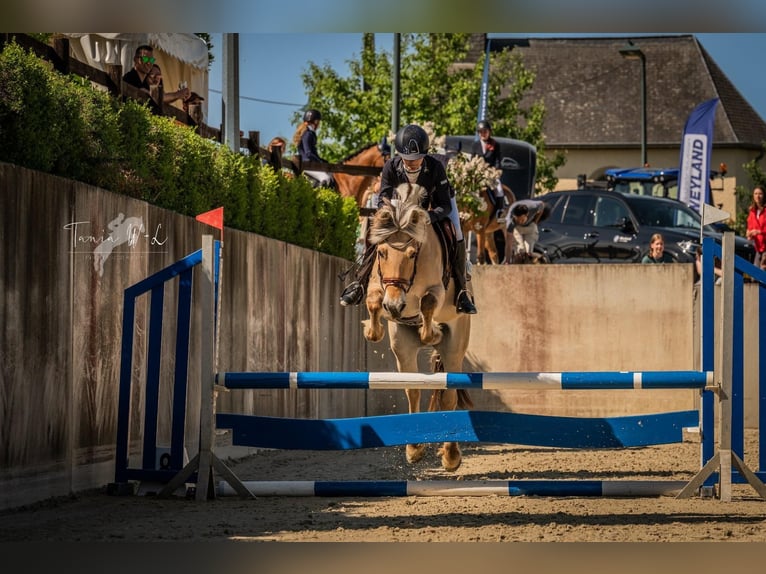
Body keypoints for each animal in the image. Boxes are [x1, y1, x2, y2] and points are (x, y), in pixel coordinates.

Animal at [362, 183, 474, 472]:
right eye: (381, 253)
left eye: (413, 254)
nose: (395, 306)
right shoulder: (379, 286)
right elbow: (373, 301)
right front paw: (372, 331)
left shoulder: (436, 291)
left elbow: (427, 302)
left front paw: (432, 332)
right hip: (403, 346)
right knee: (412, 389)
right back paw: (414, 448)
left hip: (456, 346)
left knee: (449, 395)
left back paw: (451, 456)